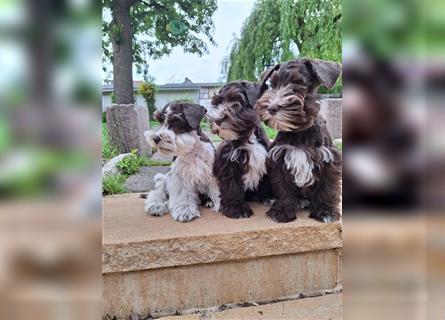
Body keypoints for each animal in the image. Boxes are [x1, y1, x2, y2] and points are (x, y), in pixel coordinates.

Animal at [207, 81, 270, 219]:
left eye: (237, 99)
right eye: (217, 102)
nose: (217, 119)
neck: (247, 136)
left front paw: (267, 197)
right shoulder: (229, 164)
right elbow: (233, 187)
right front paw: (236, 209)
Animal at [255, 58, 342, 222]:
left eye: (299, 83)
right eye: (273, 85)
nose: (271, 108)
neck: (299, 130)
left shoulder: (329, 160)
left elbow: (327, 188)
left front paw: (325, 211)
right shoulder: (279, 160)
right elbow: (282, 189)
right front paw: (282, 211)